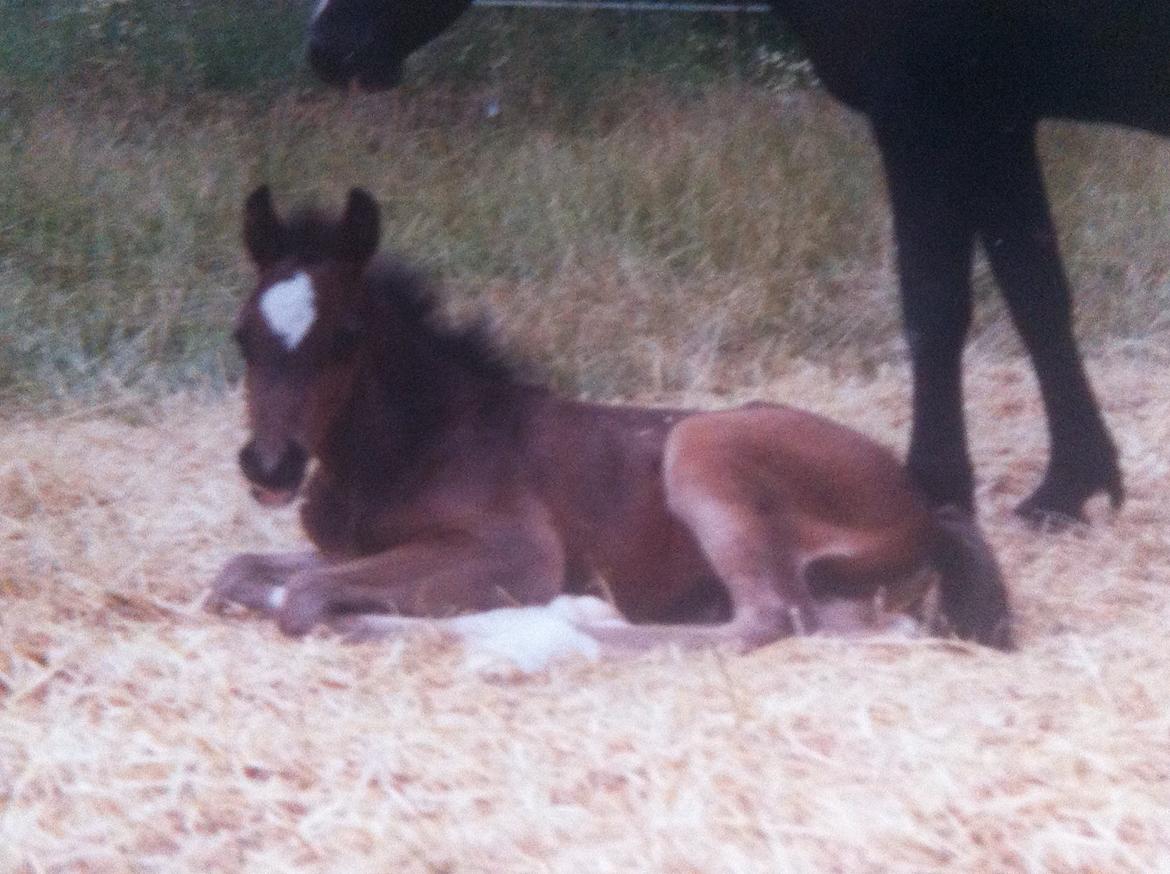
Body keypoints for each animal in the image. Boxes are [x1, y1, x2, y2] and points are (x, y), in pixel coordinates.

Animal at [210, 188, 1015, 655]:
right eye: (242, 336)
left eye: (346, 337)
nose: (270, 465)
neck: (417, 440)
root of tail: (925, 506)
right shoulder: (355, 546)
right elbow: (239, 573)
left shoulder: (513, 552)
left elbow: (306, 598)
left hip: (701, 446)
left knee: (763, 621)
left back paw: (573, 622)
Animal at [304, 1, 1170, 519]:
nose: (323, 47)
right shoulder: (994, 118)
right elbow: (1037, 295)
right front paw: (1072, 485)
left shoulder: (926, 114)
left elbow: (935, 306)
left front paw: (934, 488)